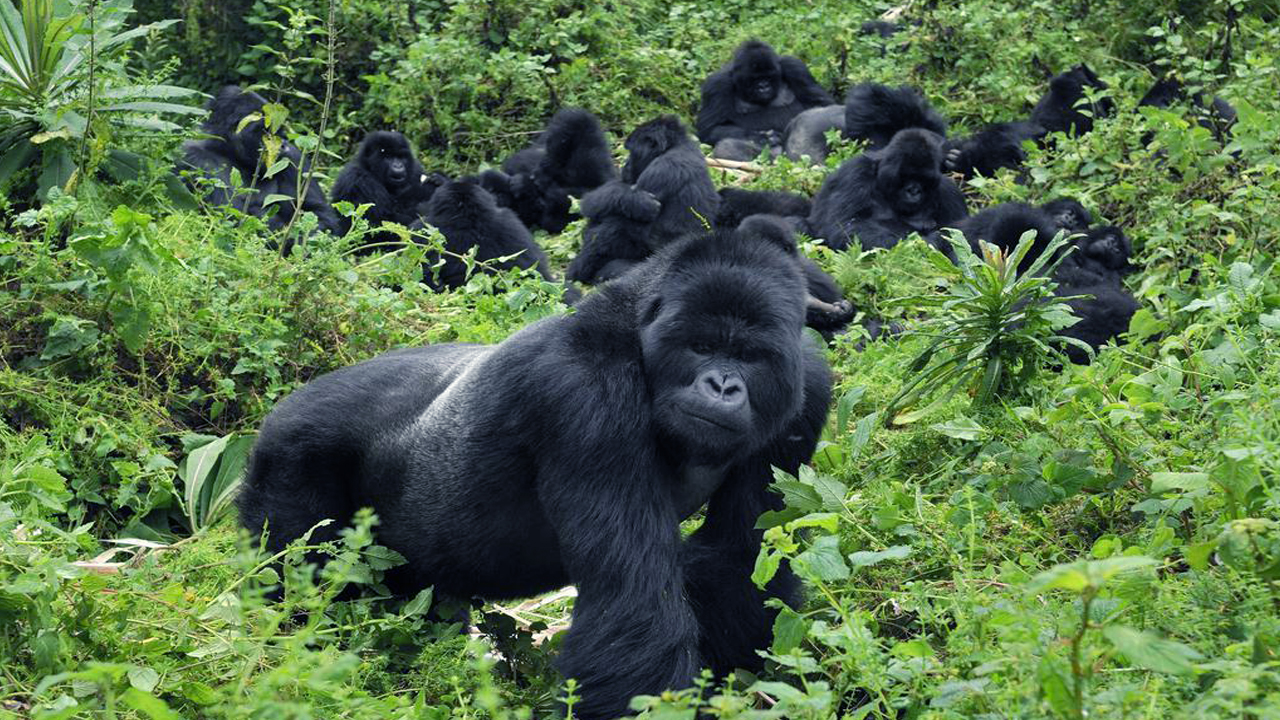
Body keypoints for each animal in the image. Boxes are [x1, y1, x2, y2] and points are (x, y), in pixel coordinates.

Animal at [177, 85, 345, 242]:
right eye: (265, 131)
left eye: (277, 130)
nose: (283, 145)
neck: (229, 152)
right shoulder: (192, 157)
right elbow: (230, 217)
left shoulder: (293, 157)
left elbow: (321, 216)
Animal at [240, 221, 834, 717]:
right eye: (702, 345)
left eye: (751, 356)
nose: (722, 386)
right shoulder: (586, 396)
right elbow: (634, 605)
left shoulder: (806, 386)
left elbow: (740, 561)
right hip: (289, 456)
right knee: (301, 578)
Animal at [696, 39, 834, 161]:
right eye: (754, 79)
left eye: (769, 76)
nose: (763, 86)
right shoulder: (717, 84)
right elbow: (710, 130)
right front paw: (763, 137)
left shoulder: (795, 68)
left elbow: (820, 105)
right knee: (726, 147)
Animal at [803, 127, 962, 251]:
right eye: (906, 176)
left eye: (923, 179)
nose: (914, 191)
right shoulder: (856, 171)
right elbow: (846, 226)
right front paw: (929, 242)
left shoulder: (948, 191)